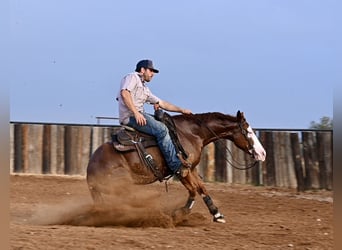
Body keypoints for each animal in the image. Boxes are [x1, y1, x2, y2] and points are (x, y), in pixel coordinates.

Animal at [86, 110, 268, 224]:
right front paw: (179, 213)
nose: (263, 153)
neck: (190, 134)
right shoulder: (181, 171)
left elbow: (201, 189)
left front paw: (217, 214)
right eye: (248, 131)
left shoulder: (191, 169)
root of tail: (90, 172)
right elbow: (193, 190)